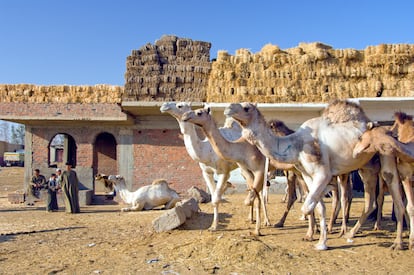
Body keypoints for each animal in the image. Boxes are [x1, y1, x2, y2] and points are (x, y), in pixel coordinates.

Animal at [182, 106, 272, 236]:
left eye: (199, 112)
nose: (185, 116)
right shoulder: (239, 170)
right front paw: (213, 226)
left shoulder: (233, 172)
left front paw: (258, 230)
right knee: (256, 192)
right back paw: (251, 219)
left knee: (263, 193)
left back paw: (267, 222)